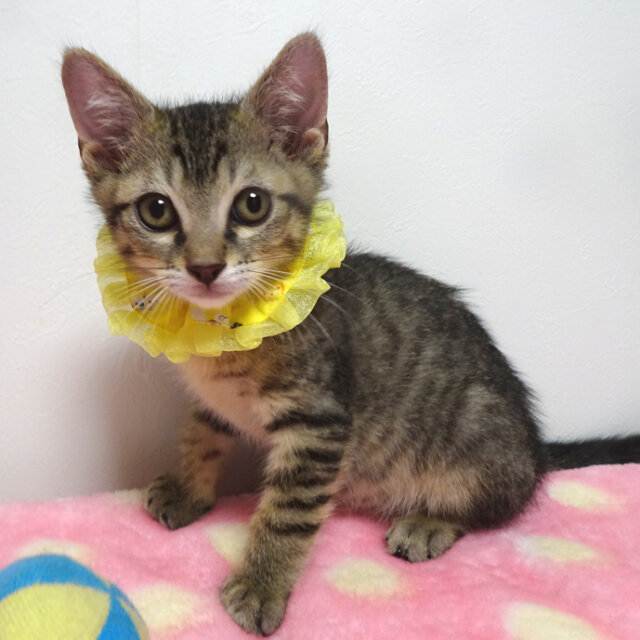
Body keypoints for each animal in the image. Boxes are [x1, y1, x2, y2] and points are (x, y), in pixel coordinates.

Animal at [61, 33, 640, 636]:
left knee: (497, 506)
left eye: (251, 204)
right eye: (156, 210)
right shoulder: (215, 399)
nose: (204, 267)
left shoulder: (319, 424)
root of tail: (534, 449)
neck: (224, 331)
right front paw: (189, 489)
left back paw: (429, 523)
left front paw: (261, 584)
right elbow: (202, 432)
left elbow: (288, 513)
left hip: (476, 436)